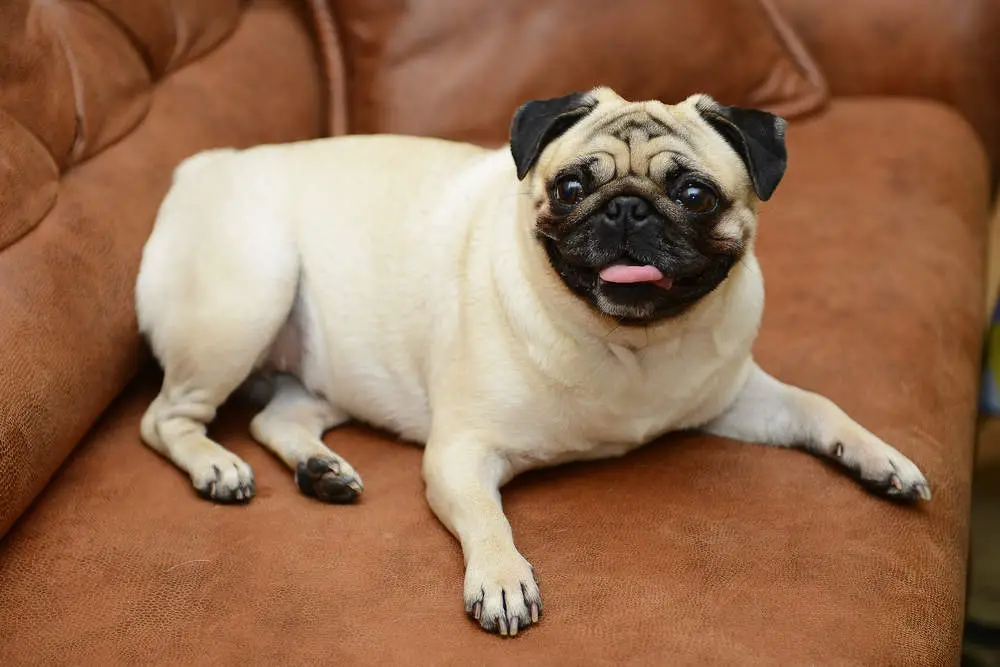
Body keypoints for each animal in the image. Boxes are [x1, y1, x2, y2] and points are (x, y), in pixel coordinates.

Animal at [137, 87, 932, 636]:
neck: (631, 348)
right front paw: (501, 578)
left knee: (278, 417)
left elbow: (819, 406)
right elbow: (489, 519)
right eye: (573, 187)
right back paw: (218, 466)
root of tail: (203, 167)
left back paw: (319, 467)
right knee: (164, 419)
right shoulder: (460, 454)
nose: (627, 208)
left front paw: (880, 459)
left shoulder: (740, 396)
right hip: (246, 300)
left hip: (322, 372)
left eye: (694, 195)